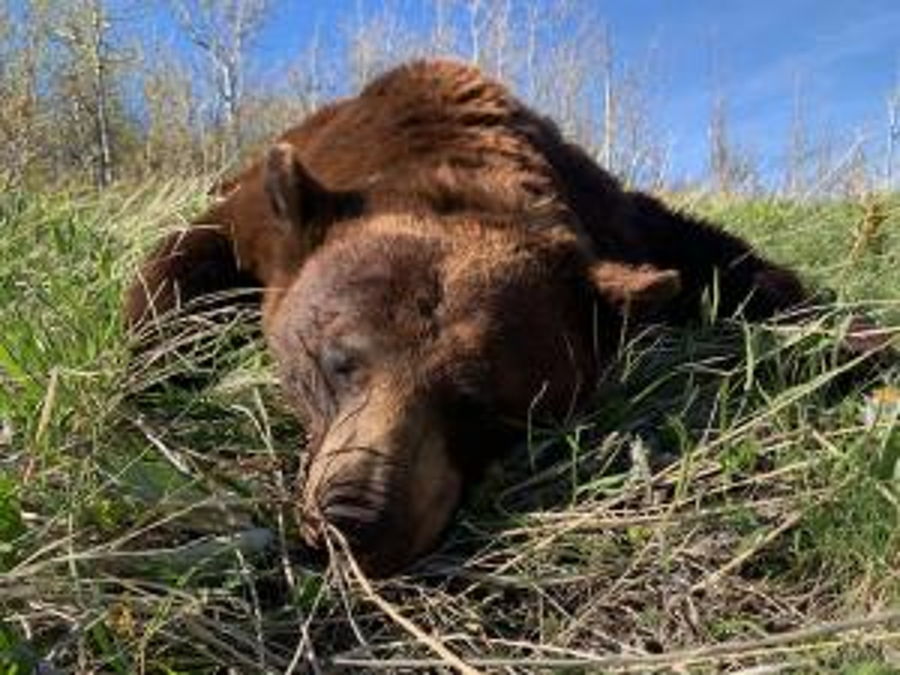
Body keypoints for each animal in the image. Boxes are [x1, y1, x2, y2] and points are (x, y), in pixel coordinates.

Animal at [126, 60, 810, 577]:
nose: (354, 520)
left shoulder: (623, 221)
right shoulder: (263, 212)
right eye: (339, 361)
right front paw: (147, 373)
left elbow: (727, 260)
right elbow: (186, 255)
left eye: (479, 404)